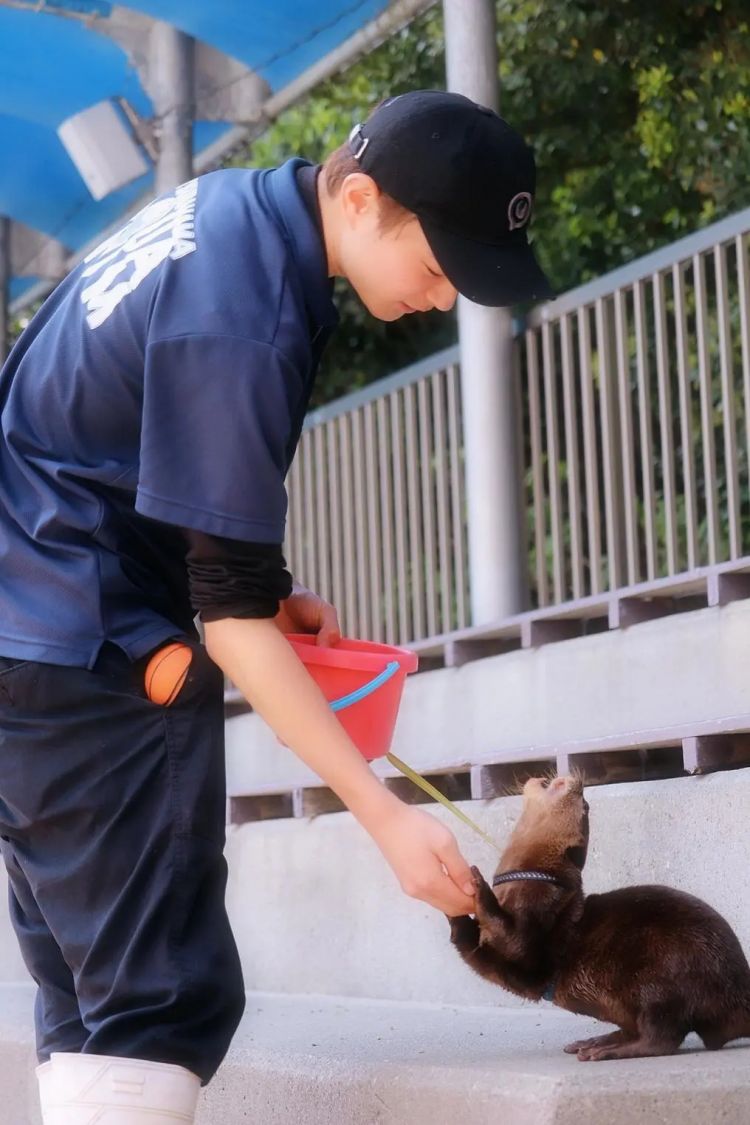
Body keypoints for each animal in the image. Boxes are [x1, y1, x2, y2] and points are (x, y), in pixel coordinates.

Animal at [449, 778, 750, 1057]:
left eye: (583, 804)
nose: (574, 782)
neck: (528, 877)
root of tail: (739, 993)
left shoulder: (539, 921)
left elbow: (515, 943)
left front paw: (478, 885)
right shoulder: (496, 962)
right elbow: (471, 949)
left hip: (665, 977)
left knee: (663, 1036)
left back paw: (607, 1051)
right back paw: (596, 1041)